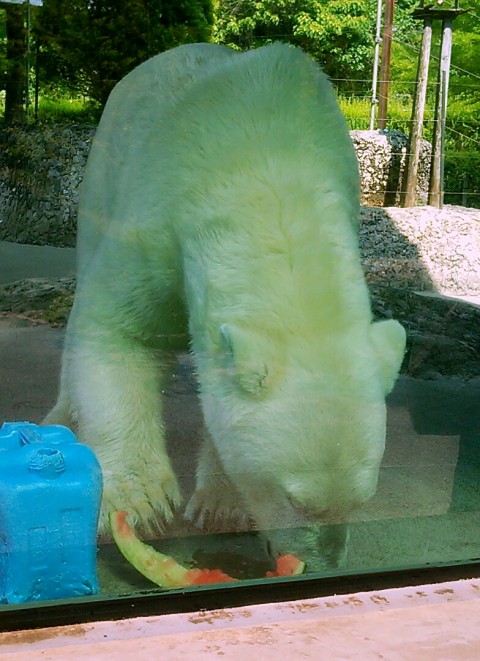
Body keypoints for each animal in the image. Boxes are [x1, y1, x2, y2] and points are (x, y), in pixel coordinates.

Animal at [44, 42, 404, 556]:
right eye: (297, 500)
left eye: (361, 498)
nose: (324, 561)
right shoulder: (159, 224)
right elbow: (116, 330)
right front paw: (141, 504)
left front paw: (222, 505)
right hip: (105, 166)